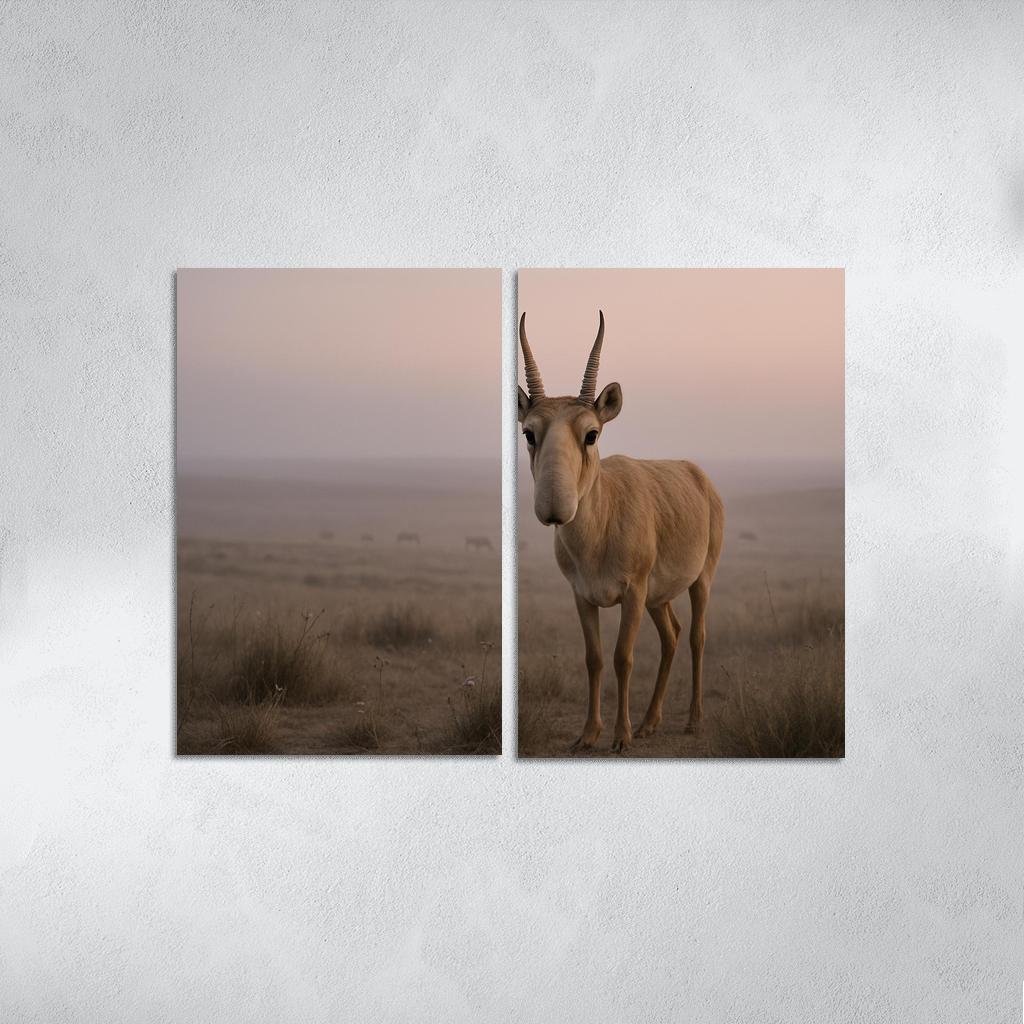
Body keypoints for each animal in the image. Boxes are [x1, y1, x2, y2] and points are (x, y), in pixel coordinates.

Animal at [518, 311, 724, 752]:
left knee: (696, 636)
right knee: (671, 635)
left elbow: (622, 658)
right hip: (657, 598)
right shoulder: (583, 596)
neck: (599, 532)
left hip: (700, 580)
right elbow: (594, 659)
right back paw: (650, 722)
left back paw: (692, 721)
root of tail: (697, 475)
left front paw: (620, 736)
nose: (555, 507)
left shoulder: (632, 593)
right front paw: (588, 734)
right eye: (529, 432)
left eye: (591, 433)